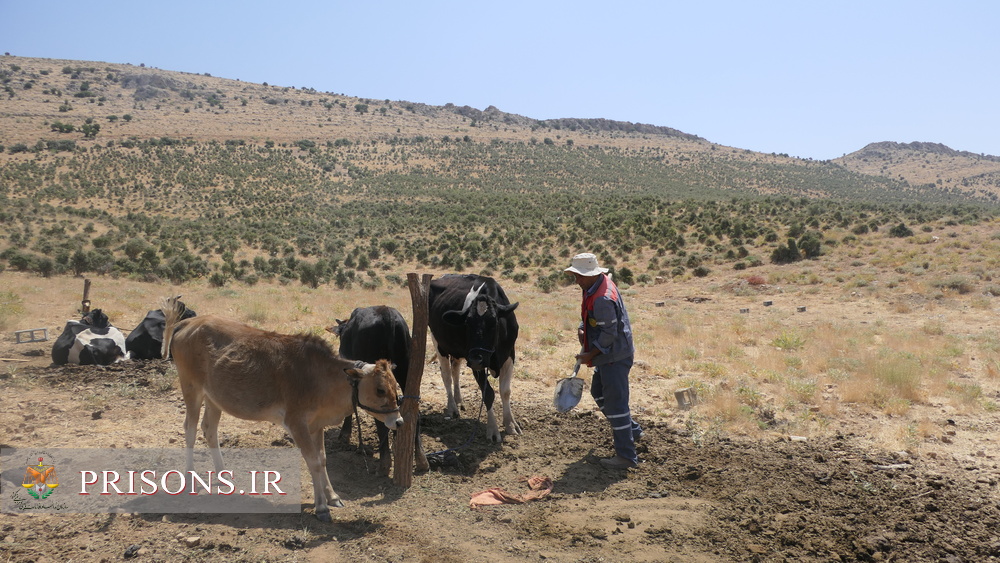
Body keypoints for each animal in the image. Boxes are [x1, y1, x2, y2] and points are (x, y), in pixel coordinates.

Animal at [160, 298, 402, 524]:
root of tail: (188, 323)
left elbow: (322, 459)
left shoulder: (316, 425)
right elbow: (313, 461)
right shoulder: (296, 424)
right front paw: (321, 507)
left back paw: (223, 476)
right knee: (190, 428)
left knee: (209, 429)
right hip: (191, 387)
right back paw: (189, 477)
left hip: (214, 397)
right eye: (380, 390)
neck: (320, 377)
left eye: (396, 386)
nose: (398, 421)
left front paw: (332, 496)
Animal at [330, 306, 428, 478]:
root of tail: (387, 315)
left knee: (382, 421)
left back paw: (384, 464)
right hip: (406, 372)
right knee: (412, 411)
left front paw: (344, 435)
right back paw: (421, 459)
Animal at [428, 276, 524, 442]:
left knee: (455, 370)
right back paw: (452, 408)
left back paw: (459, 401)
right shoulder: (476, 362)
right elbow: (488, 394)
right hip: (439, 343)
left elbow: (505, 391)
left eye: (494, 322)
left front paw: (511, 424)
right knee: (446, 375)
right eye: (467, 323)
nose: (475, 360)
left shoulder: (509, 355)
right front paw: (493, 430)